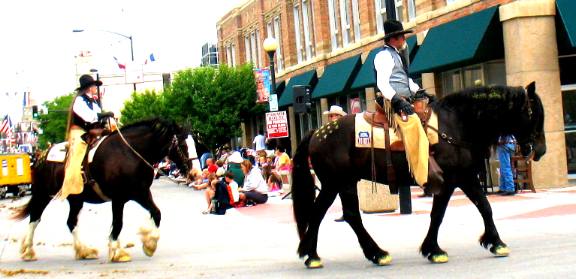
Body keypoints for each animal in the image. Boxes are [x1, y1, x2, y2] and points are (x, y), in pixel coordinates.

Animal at [12, 119, 189, 264]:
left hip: (75, 199)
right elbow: (118, 223)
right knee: (35, 218)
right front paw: (117, 252)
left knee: (71, 222)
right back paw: (28, 251)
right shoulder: (119, 198)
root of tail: (42, 155)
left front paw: (149, 244)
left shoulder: (141, 193)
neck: (130, 153)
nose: (191, 169)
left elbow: (156, 212)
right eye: (183, 145)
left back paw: (84, 251)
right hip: (42, 194)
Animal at [292, 82, 544, 270]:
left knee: (342, 215)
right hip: (337, 183)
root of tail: (317, 132)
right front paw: (435, 249)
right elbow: (439, 214)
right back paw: (324, 255)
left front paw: (495, 242)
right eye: (534, 116)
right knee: (330, 214)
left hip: (342, 183)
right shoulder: (451, 181)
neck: (455, 125)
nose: (540, 150)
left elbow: (484, 206)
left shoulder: (466, 177)